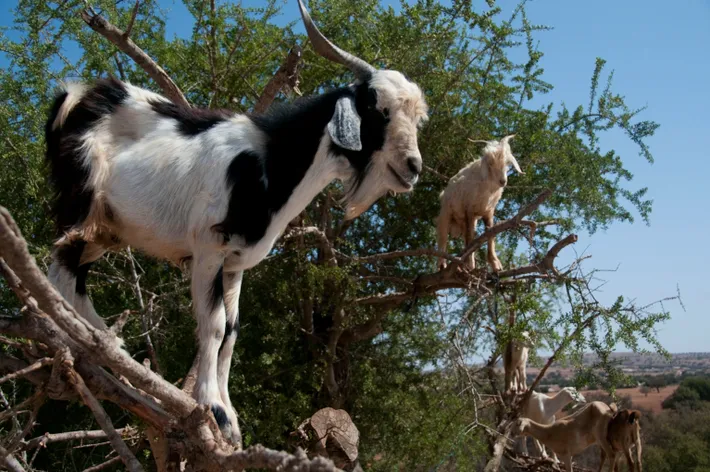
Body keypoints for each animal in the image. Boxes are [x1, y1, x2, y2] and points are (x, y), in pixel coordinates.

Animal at [43, 0, 428, 445]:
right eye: (377, 109)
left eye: (417, 119)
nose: (413, 167)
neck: (269, 163)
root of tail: (75, 96)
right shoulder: (210, 249)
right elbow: (212, 327)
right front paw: (214, 410)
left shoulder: (236, 263)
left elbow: (231, 331)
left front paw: (232, 415)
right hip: (81, 204)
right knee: (60, 267)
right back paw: (88, 343)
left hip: (108, 230)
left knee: (72, 272)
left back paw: (109, 346)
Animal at [436, 135, 522, 271]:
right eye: (490, 163)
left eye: (507, 163)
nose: (503, 181)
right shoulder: (469, 210)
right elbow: (471, 238)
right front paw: (470, 264)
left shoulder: (489, 212)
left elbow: (490, 234)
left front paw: (495, 264)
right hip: (446, 212)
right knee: (443, 237)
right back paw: (442, 264)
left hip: (463, 221)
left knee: (465, 237)